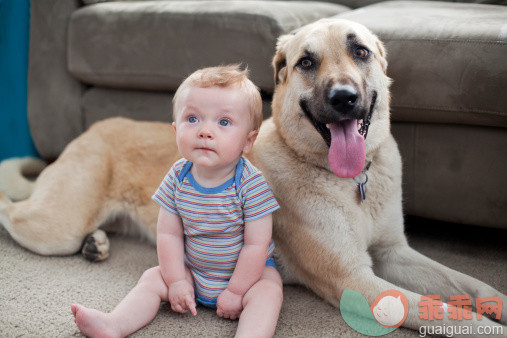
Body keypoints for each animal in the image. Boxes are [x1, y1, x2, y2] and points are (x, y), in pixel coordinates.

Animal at [0, 18, 506, 332]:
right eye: (306, 62)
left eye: (360, 51)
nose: (344, 98)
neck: (348, 181)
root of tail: (94, 127)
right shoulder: (356, 279)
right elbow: (448, 311)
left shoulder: (395, 254)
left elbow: (470, 284)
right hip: (56, 226)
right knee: (12, 212)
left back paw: (97, 243)